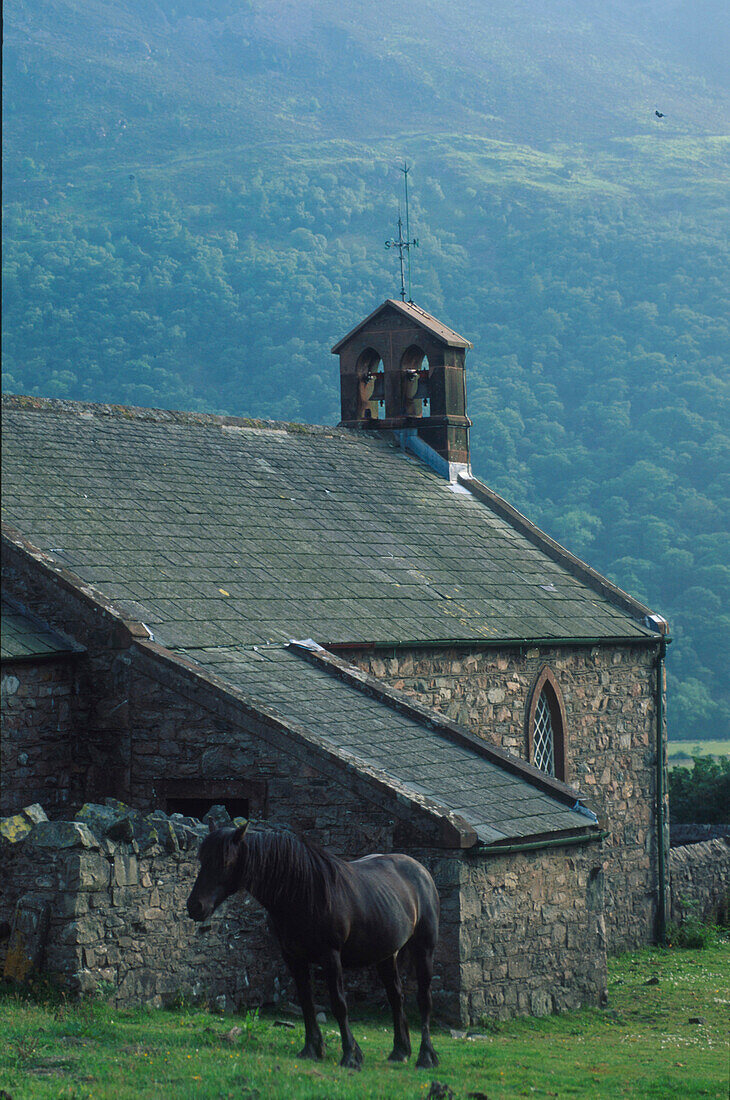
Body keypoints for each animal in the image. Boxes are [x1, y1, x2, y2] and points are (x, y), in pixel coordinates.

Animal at [187, 827, 439, 1064]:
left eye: (225, 862)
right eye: (202, 859)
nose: (194, 906)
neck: (303, 893)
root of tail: (421, 871)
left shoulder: (330, 956)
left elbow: (338, 1004)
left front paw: (350, 1055)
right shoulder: (293, 958)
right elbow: (306, 1003)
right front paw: (312, 1050)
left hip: (423, 950)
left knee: (425, 1000)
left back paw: (426, 1057)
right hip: (386, 955)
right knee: (396, 997)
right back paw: (400, 1051)